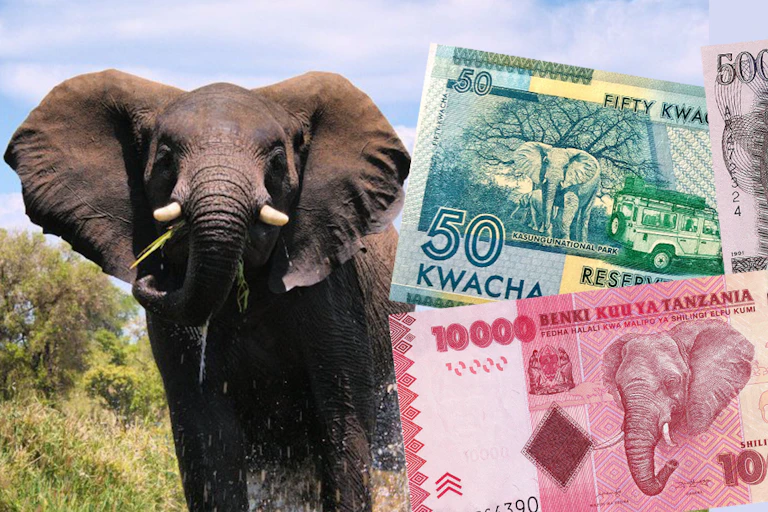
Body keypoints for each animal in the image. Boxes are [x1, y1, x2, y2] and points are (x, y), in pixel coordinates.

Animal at [4, 70, 413, 511]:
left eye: (276, 162)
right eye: (165, 159)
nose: (150, 273)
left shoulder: (336, 291)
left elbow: (343, 421)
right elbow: (207, 437)